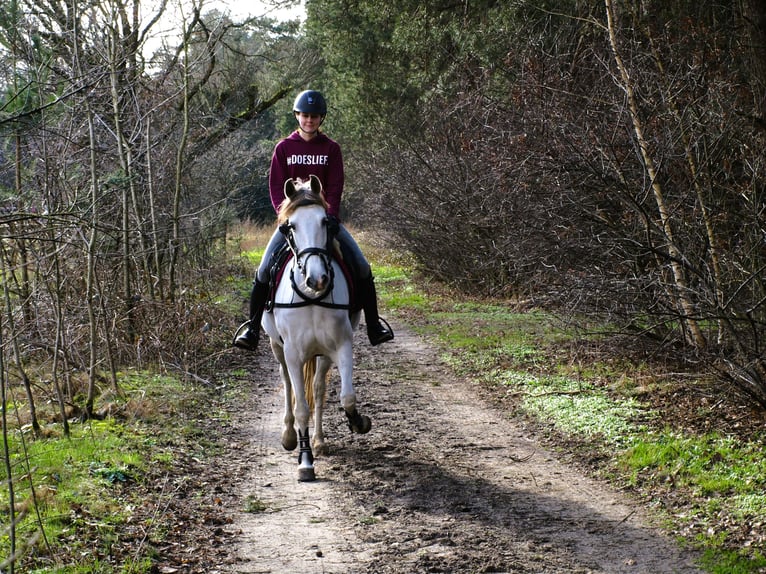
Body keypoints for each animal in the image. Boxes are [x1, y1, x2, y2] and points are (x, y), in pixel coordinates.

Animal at [262, 174, 374, 482]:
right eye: (290, 226)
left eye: (327, 222)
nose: (318, 279)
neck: (311, 296)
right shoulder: (292, 353)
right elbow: (301, 407)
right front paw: (305, 461)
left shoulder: (342, 346)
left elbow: (346, 397)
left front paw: (358, 422)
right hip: (278, 349)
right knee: (288, 384)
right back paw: (289, 436)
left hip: (321, 355)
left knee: (319, 388)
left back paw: (320, 441)